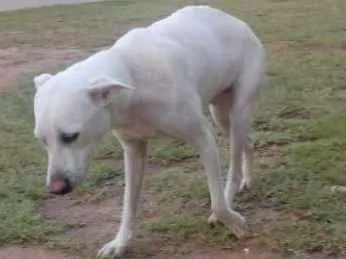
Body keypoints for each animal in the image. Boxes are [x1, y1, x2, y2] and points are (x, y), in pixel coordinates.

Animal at [33, 5, 264, 258]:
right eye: (42, 141)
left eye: (70, 136)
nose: (56, 189)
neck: (132, 79)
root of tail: (235, 21)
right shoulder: (133, 149)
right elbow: (128, 204)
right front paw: (120, 242)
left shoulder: (203, 138)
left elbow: (217, 202)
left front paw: (234, 223)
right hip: (222, 115)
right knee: (248, 141)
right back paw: (247, 179)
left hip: (237, 112)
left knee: (233, 167)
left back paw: (232, 197)